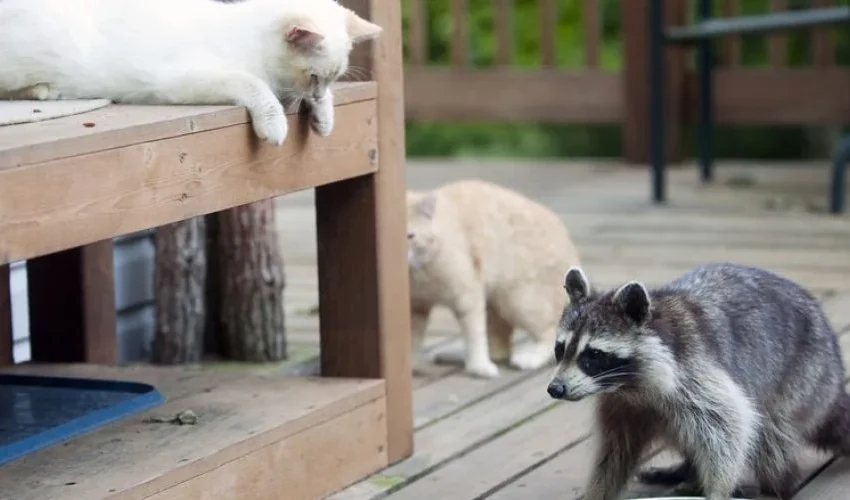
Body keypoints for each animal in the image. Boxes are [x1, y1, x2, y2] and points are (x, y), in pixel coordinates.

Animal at [546, 263, 850, 500]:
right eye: (560, 348)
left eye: (593, 355)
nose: (555, 388)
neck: (628, 386)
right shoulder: (621, 405)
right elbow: (615, 452)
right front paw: (599, 489)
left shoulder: (693, 371)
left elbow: (729, 423)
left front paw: (718, 488)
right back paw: (687, 470)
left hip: (804, 378)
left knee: (768, 437)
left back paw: (776, 485)